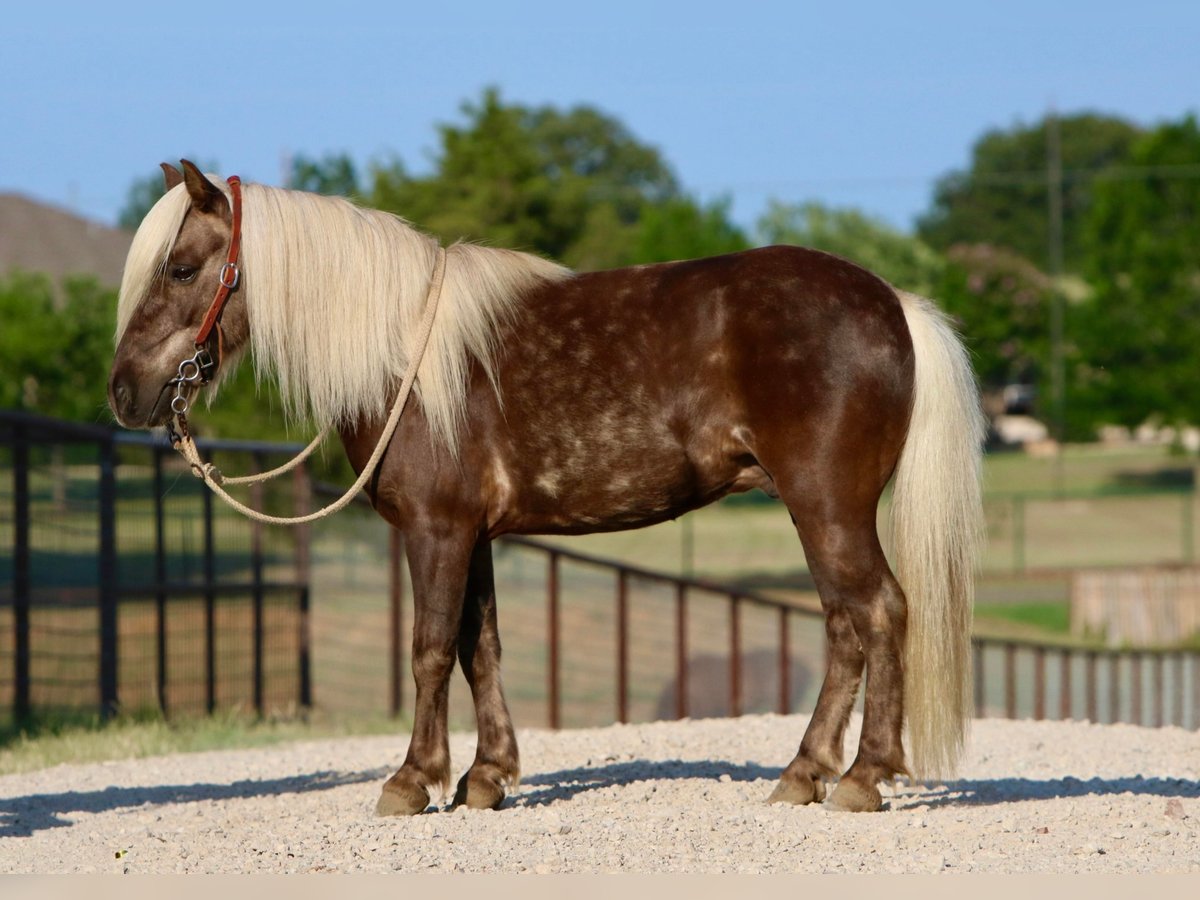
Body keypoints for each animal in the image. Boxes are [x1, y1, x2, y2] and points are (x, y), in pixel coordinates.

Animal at [108, 160, 979, 816]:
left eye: (182, 268)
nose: (124, 392)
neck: (403, 350)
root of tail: (892, 304)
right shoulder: (474, 535)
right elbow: (479, 647)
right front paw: (485, 778)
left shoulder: (435, 530)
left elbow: (429, 650)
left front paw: (412, 780)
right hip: (818, 513)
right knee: (844, 626)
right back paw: (805, 773)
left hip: (826, 507)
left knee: (878, 613)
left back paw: (862, 777)